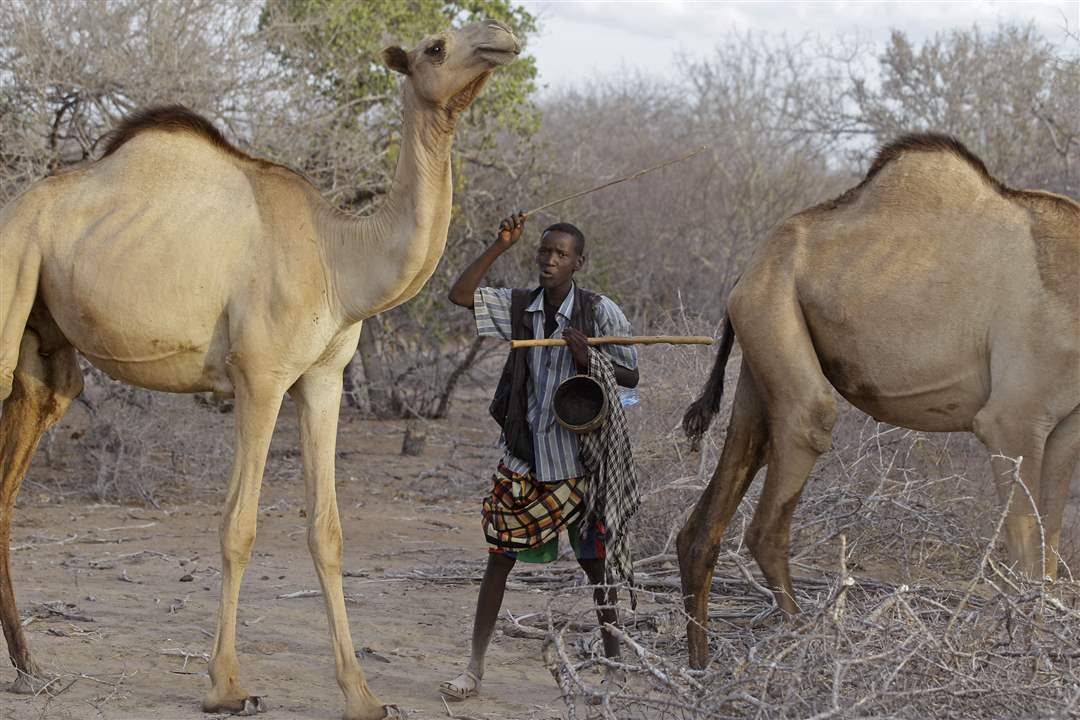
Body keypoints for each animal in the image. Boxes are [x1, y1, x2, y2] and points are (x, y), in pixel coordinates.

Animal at [0, 19, 520, 716]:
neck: (340, 258)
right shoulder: (260, 376)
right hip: (14, 269)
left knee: (26, 444)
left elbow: (327, 530)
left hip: (45, 346)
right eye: (436, 47)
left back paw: (30, 665)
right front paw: (227, 685)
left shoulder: (324, 378)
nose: (501, 35)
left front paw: (362, 694)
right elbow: (238, 526)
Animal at [678, 134, 1075, 669]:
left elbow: (1048, 552)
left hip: (757, 355)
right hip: (773, 313)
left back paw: (699, 661)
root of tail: (747, 271)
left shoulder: (1066, 426)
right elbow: (1027, 556)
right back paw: (807, 641)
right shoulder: (1012, 421)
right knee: (783, 482)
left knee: (716, 502)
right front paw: (1024, 655)